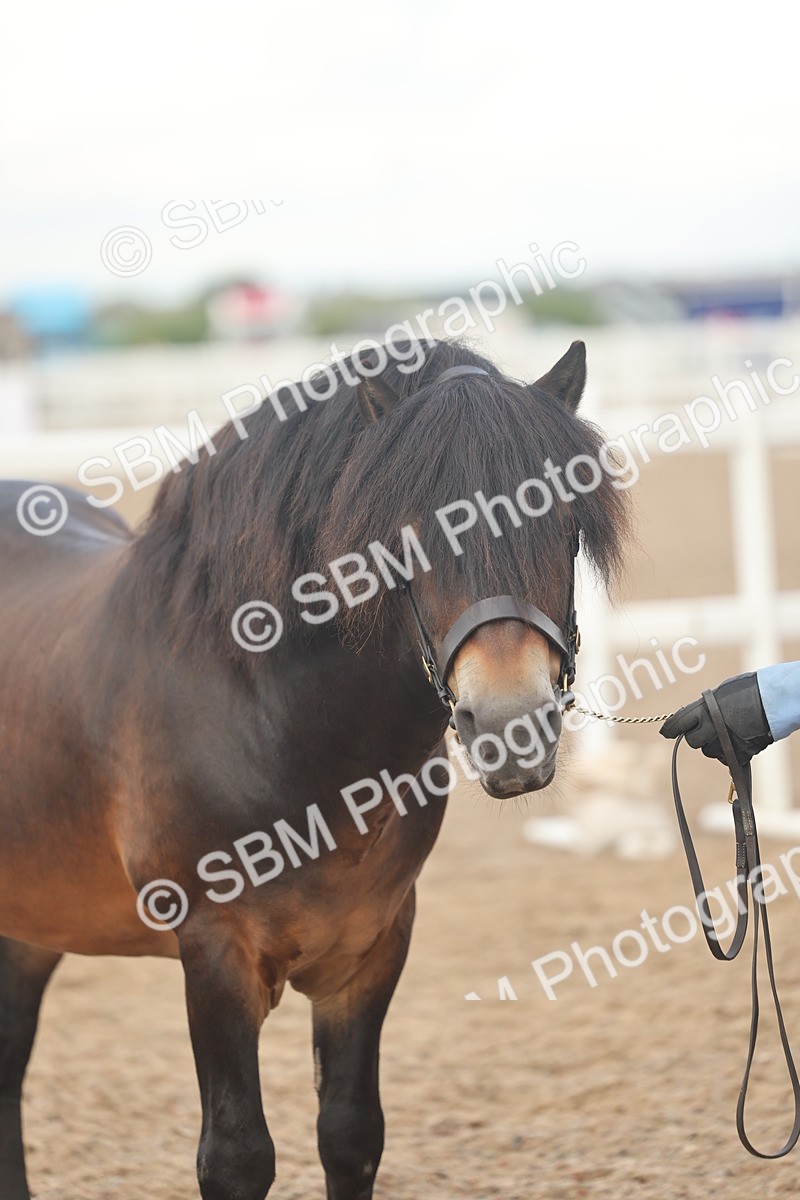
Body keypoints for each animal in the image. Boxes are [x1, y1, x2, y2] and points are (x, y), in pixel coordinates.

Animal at [0, 336, 628, 1200]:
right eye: (409, 534)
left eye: (560, 518)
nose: (511, 726)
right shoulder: (216, 954)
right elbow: (237, 1155)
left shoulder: (370, 948)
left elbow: (351, 1134)